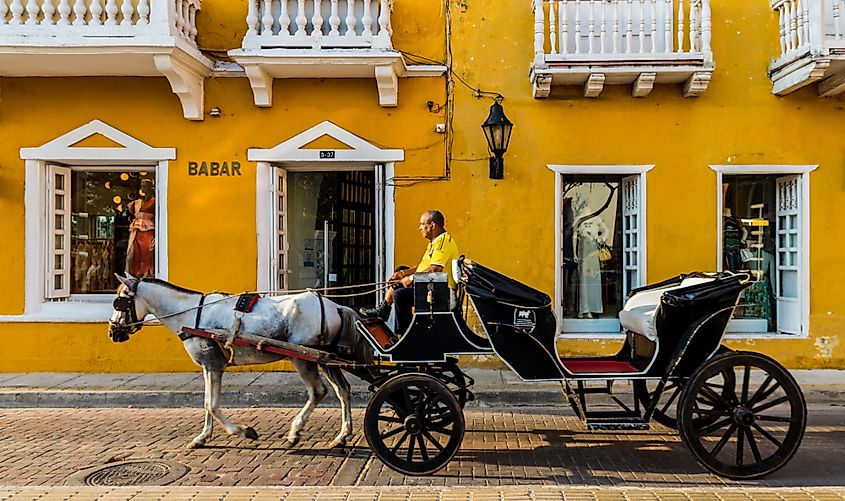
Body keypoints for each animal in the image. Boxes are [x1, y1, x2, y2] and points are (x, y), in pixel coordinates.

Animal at [107, 274, 370, 450]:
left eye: (120, 300)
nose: (113, 332)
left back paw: (295, 431)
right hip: (326, 359)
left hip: (303, 358)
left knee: (317, 391)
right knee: (342, 390)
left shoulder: (213, 364)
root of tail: (335, 306)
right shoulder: (209, 366)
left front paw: (244, 432)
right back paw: (342, 435)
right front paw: (203, 437)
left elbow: (212, 404)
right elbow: (206, 403)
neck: (192, 314)